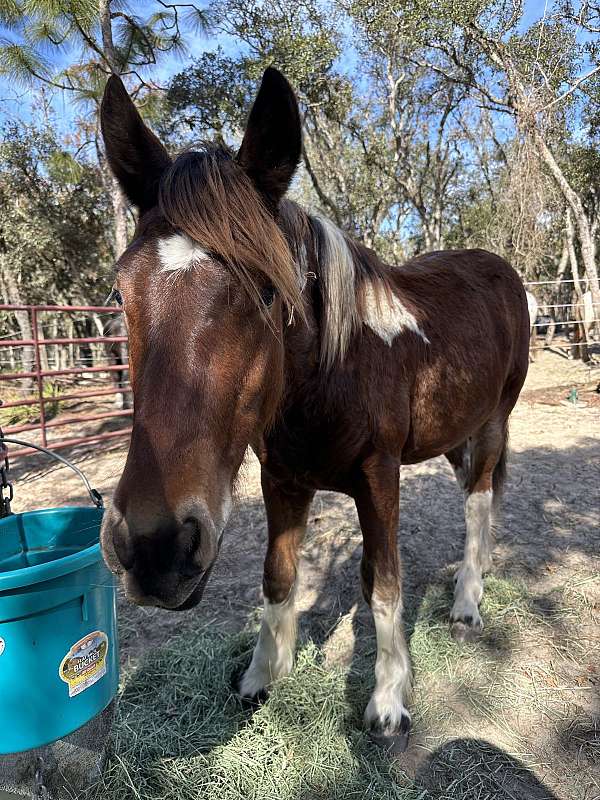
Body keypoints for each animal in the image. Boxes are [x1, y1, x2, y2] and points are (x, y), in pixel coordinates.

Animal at [98, 67, 528, 752]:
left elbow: (383, 583)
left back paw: (467, 603)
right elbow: (278, 576)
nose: (154, 549)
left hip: (492, 424)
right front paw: (262, 676)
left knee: (478, 502)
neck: (333, 375)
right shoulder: (283, 480)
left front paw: (388, 701)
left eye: (267, 290)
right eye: (121, 291)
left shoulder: (380, 477)